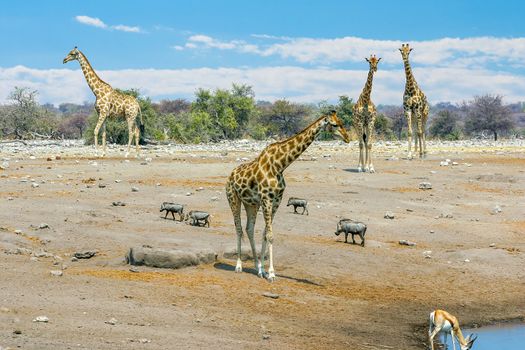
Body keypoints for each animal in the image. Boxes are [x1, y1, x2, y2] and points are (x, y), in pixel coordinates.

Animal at [224, 110, 348, 280]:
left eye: (341, 122)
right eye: (335, 124)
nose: (348, 137)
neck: (280, 165)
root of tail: (230, 175)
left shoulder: (276, 200)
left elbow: (265, 233)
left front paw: (263, 270)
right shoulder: (267, 199)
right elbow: (270, 235)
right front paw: (271, 273)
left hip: (251, 204)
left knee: (249, 229)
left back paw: (257, 267)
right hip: (233, 198)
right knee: (239, 228)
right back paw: (238, 266)